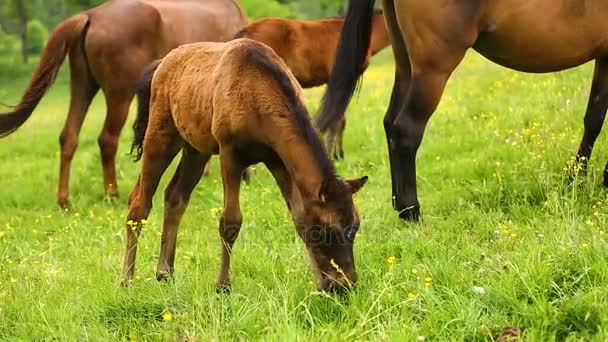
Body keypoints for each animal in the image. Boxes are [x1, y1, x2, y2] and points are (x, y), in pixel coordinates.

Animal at [0, 0, 248, 208]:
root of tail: (90, 15)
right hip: (119, 95)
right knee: (107, 139)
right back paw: (111, 193)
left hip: (83, 87)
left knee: (68, 137)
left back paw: (64, 200)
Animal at [122, 39, 366, 292]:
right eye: (323, 230)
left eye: (355, 226)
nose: (346, 285)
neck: (258, 96)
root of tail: (161, 64)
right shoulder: (230, 153)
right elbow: (230, 221)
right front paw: (222, 285)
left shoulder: (277, 159)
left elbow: (299, 217)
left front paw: (320, 283)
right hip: (161, 135)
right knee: (139, 203)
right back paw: (126, 279)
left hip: (196, 149)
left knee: (175, 196)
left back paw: (165, 272)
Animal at [316, 0, 608, 222]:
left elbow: (593, 119)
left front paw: (577, 180)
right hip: (433, 70)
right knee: (406, 130)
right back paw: (411, 212)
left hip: (406, 63)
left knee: (390, 122)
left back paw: (398, 204)